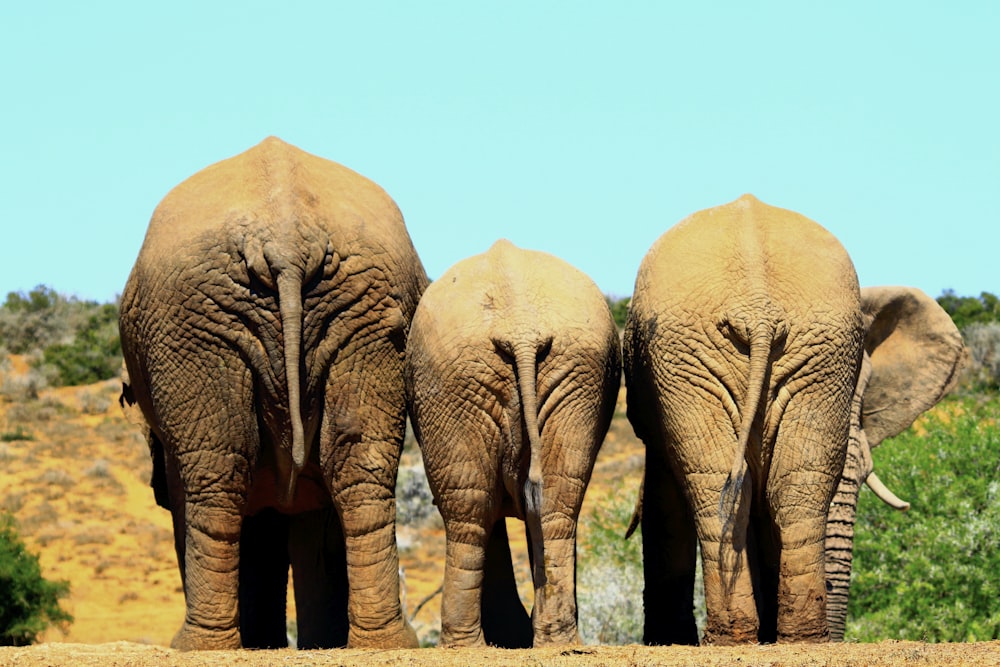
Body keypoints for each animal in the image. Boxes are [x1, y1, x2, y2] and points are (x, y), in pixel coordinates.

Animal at [119, 137, 428, 652]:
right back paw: (385, 642)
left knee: (216, 474)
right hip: (361, 312)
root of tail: (286, 239)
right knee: (358, 467)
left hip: (193, 324)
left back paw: (197, 645)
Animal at [402, 239, 620, 648]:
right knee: (555, 503)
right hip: (572, 373)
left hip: (458, 379)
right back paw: (558, 640)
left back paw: (461, 647)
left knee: (468, 510)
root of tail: (520, 326)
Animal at [624, 194, 960, 648]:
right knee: (764, 484)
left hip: (810, 348)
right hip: (708, 353)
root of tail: (758, 308)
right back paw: (768, 638)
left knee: (767, 484)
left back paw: (764, 638)